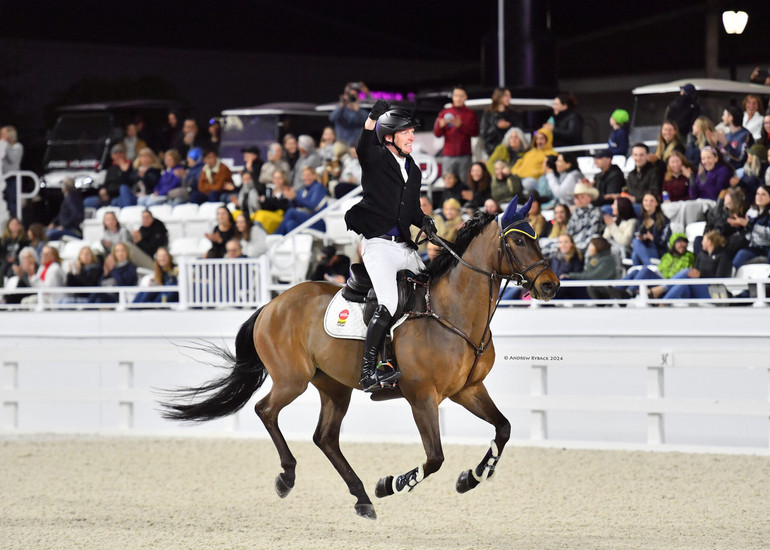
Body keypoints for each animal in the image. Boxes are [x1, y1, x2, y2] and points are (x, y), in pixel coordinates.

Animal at [164, 198, 560, 520]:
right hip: (292, 379)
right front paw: (392, 483)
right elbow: (434, 458)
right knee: (266, 411)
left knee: (325, 438)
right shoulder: (422, 396)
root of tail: (273, 303)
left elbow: (503, 429)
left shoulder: (469, 389)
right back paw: (289, 477)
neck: (453, 312)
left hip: (334, 387)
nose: (550, 285)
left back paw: (361, 498)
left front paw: (471, 477)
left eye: (537, 236)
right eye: (519, 240)